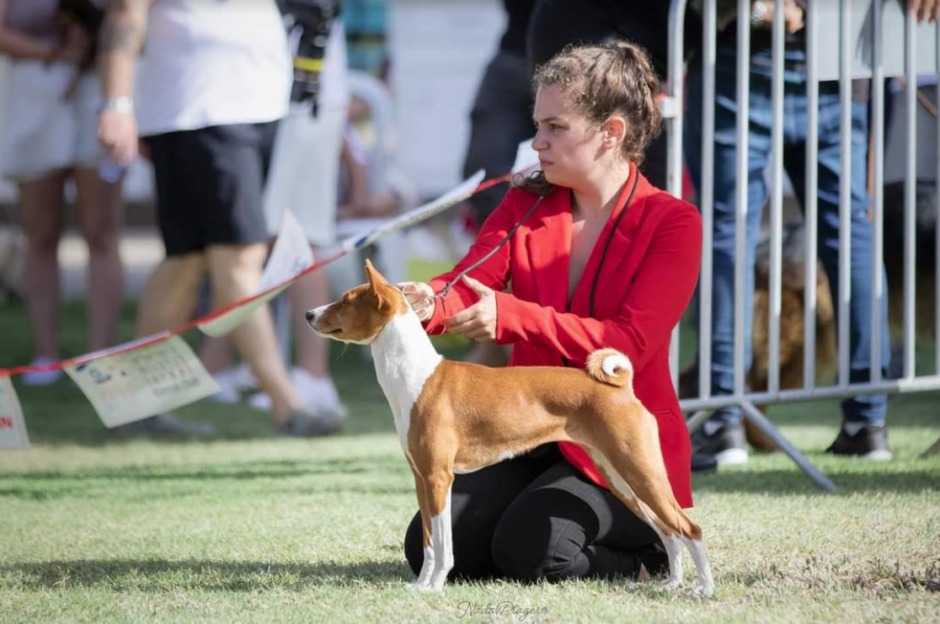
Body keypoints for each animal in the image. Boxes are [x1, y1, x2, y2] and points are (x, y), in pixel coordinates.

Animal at [306, 258, 712, 596]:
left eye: (346, 300)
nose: (309, 313)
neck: (416, 377)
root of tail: (620, 386)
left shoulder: (439, 478)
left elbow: (444, 545)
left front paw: (435, 587)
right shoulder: (421, 477)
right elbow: (429, 543)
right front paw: (420, 586)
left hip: (641, 470)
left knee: (689, 528)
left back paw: (702, 589)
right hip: (620, 477)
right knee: (667, 530)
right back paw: (672, 583)